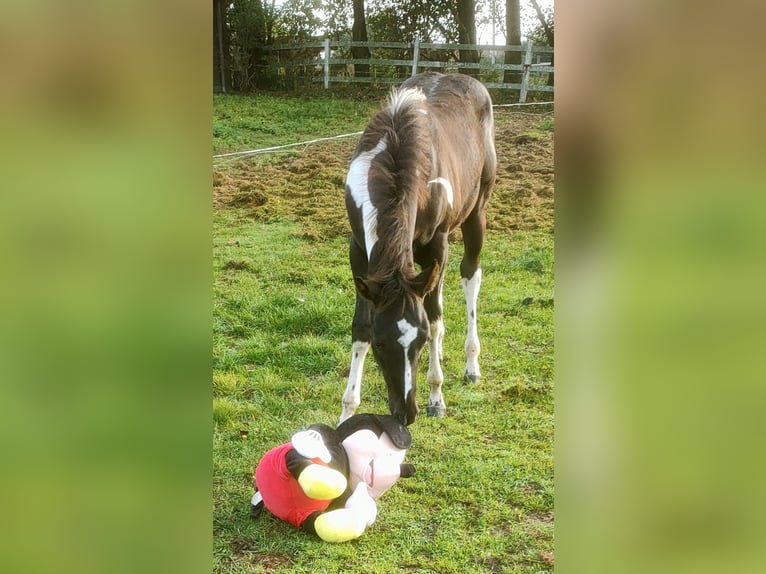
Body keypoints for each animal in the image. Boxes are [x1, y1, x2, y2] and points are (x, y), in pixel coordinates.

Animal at [340, 72, 498, 428]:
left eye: (420, 340)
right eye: (380, 344)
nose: (405, 413)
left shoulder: (436, 242)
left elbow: (435, 317)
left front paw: (436, 396)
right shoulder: (358, 249)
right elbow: (360, 325)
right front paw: (346, 412)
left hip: (476, 212)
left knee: (470, 276)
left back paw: (471, 364)